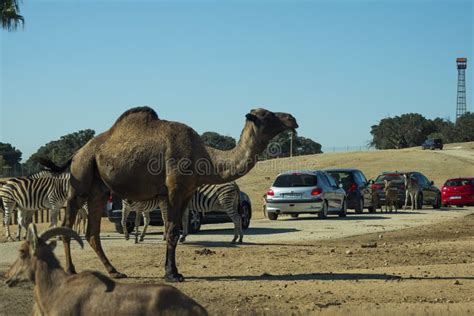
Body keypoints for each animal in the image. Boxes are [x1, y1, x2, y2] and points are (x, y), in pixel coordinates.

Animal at [42, 106, 298, 282]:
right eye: (267, 115)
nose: (292, 118)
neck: (204, 156)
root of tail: (76, 153)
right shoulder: (175, 190)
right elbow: (173, 231)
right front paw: (173, 275)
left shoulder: (184, 194)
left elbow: (172, 230)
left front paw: (173, 271)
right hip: (80, 181)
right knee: (67, 223)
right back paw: (71, 270)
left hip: (99, 190)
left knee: (92, 232)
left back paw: (115, 271)